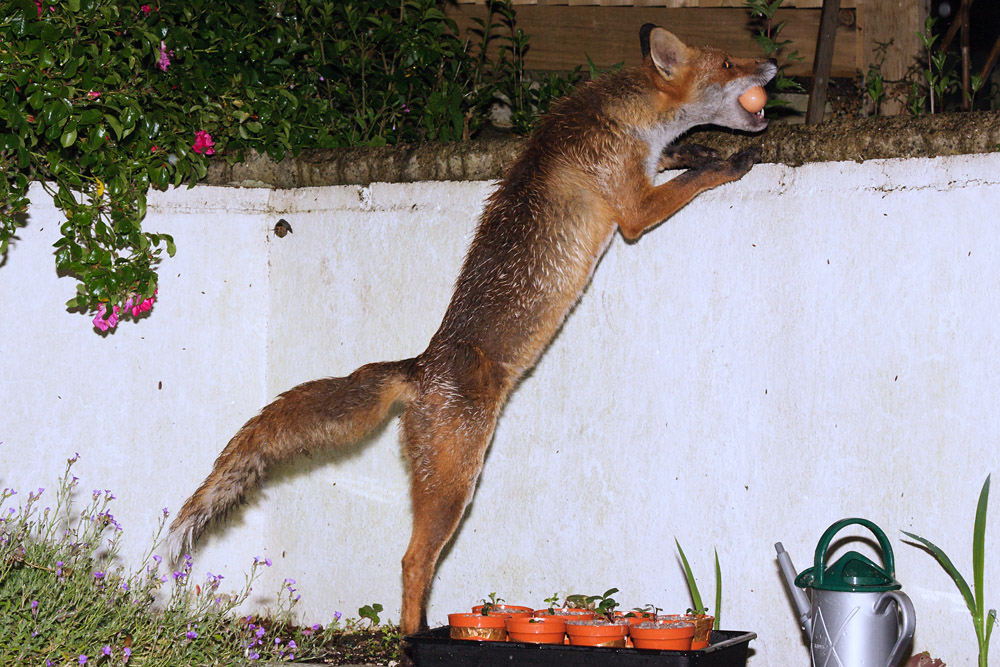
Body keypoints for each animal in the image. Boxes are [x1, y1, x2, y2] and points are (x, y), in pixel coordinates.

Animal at [168, 25, 777, 636]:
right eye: (729, 62)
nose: (771, 64)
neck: (622, 119)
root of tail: (419, 368)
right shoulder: (632, 207)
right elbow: (691, 182)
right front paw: (729, 162)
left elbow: (678, 158)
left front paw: (694, 149)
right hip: (455, 482)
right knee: (413, 560)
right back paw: (416, 637)